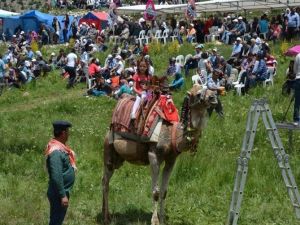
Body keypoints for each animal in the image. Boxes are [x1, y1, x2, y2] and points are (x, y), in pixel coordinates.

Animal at [102, 85, 217, 225]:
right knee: (105, 182)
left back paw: (105, 213)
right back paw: (106, 218)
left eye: (209, 88)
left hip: (119, 158)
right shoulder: (154, 155)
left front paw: (162, 219)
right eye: (198, 94)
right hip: (109, 149)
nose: (213, 97)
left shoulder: (171, 159)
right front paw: (155, 220)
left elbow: (164, 191)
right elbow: (156, 192)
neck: (173, 134)